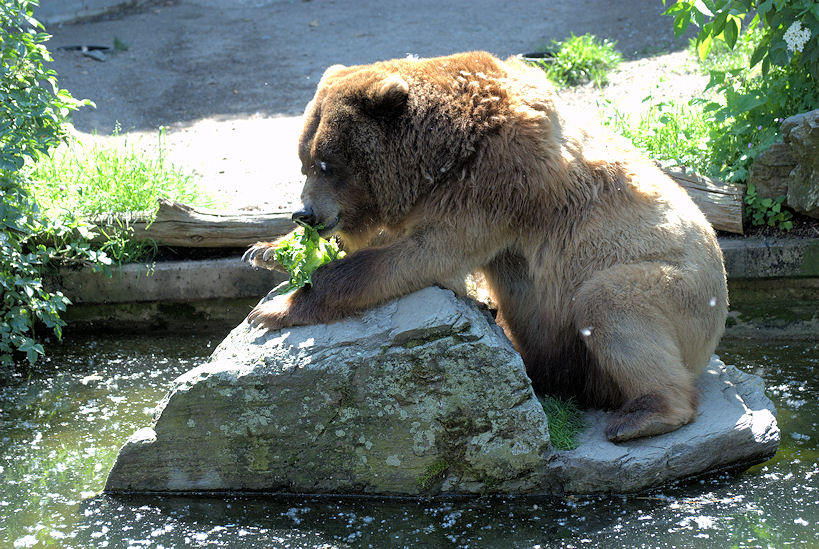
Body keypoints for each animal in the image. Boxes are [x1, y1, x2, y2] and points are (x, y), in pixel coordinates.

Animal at [245, 52, 732, 440]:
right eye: (304, 161)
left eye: (328, 163)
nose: (305, 213)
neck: (440, 152)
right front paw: (267, 252)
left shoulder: (493, 183)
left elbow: (421, 256)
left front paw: (276, 309)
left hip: (678, 290)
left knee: (611, 303)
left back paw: (644, 415)